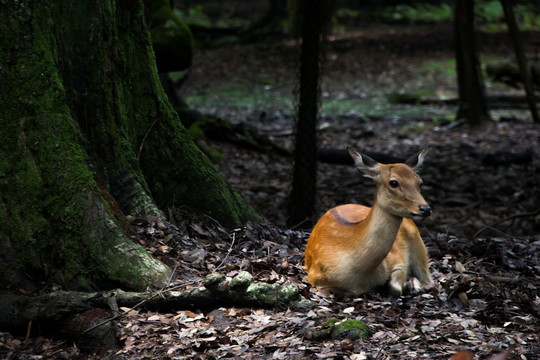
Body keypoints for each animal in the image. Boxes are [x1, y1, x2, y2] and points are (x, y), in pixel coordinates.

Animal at [306, 146, 432, 296]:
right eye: (393, 182)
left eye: (420, 182)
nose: (425, 209)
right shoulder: (313, 276)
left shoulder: (398, 259)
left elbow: (395, 287)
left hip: (419, 245)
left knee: (428, 279)